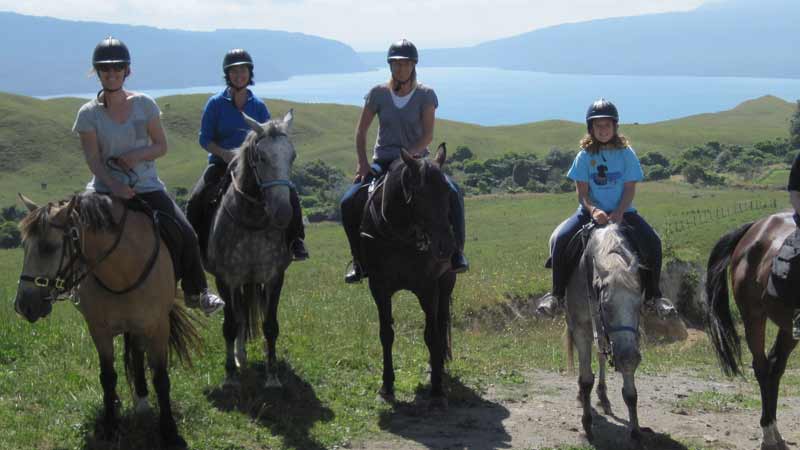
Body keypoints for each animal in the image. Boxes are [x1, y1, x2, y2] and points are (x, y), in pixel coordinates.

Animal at [15, 192, 198, 446]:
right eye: (24, 246)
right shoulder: (99, 330)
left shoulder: (158, 327)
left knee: (138, 353)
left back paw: (142, 401)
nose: (23, 305)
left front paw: (169, 431)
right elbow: (108, 376)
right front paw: (110, 425)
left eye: (48, 247)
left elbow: (161, 378)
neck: (122, 270)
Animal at [556, 221, 648, 442]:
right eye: (606, 306)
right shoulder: (581, 330)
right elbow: (586, 379)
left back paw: (604, 397)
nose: (628, 357)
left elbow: (630, 392)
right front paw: (587, 425)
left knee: (600, 356)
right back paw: (583, 397)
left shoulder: (627, 341)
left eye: (638, 305)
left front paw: (635, 430)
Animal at [708, 212, 800, 450]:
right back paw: (768, 433)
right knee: (762, 367)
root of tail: (755, 228)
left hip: (788, 327)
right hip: (753, 316)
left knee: (775, 365)